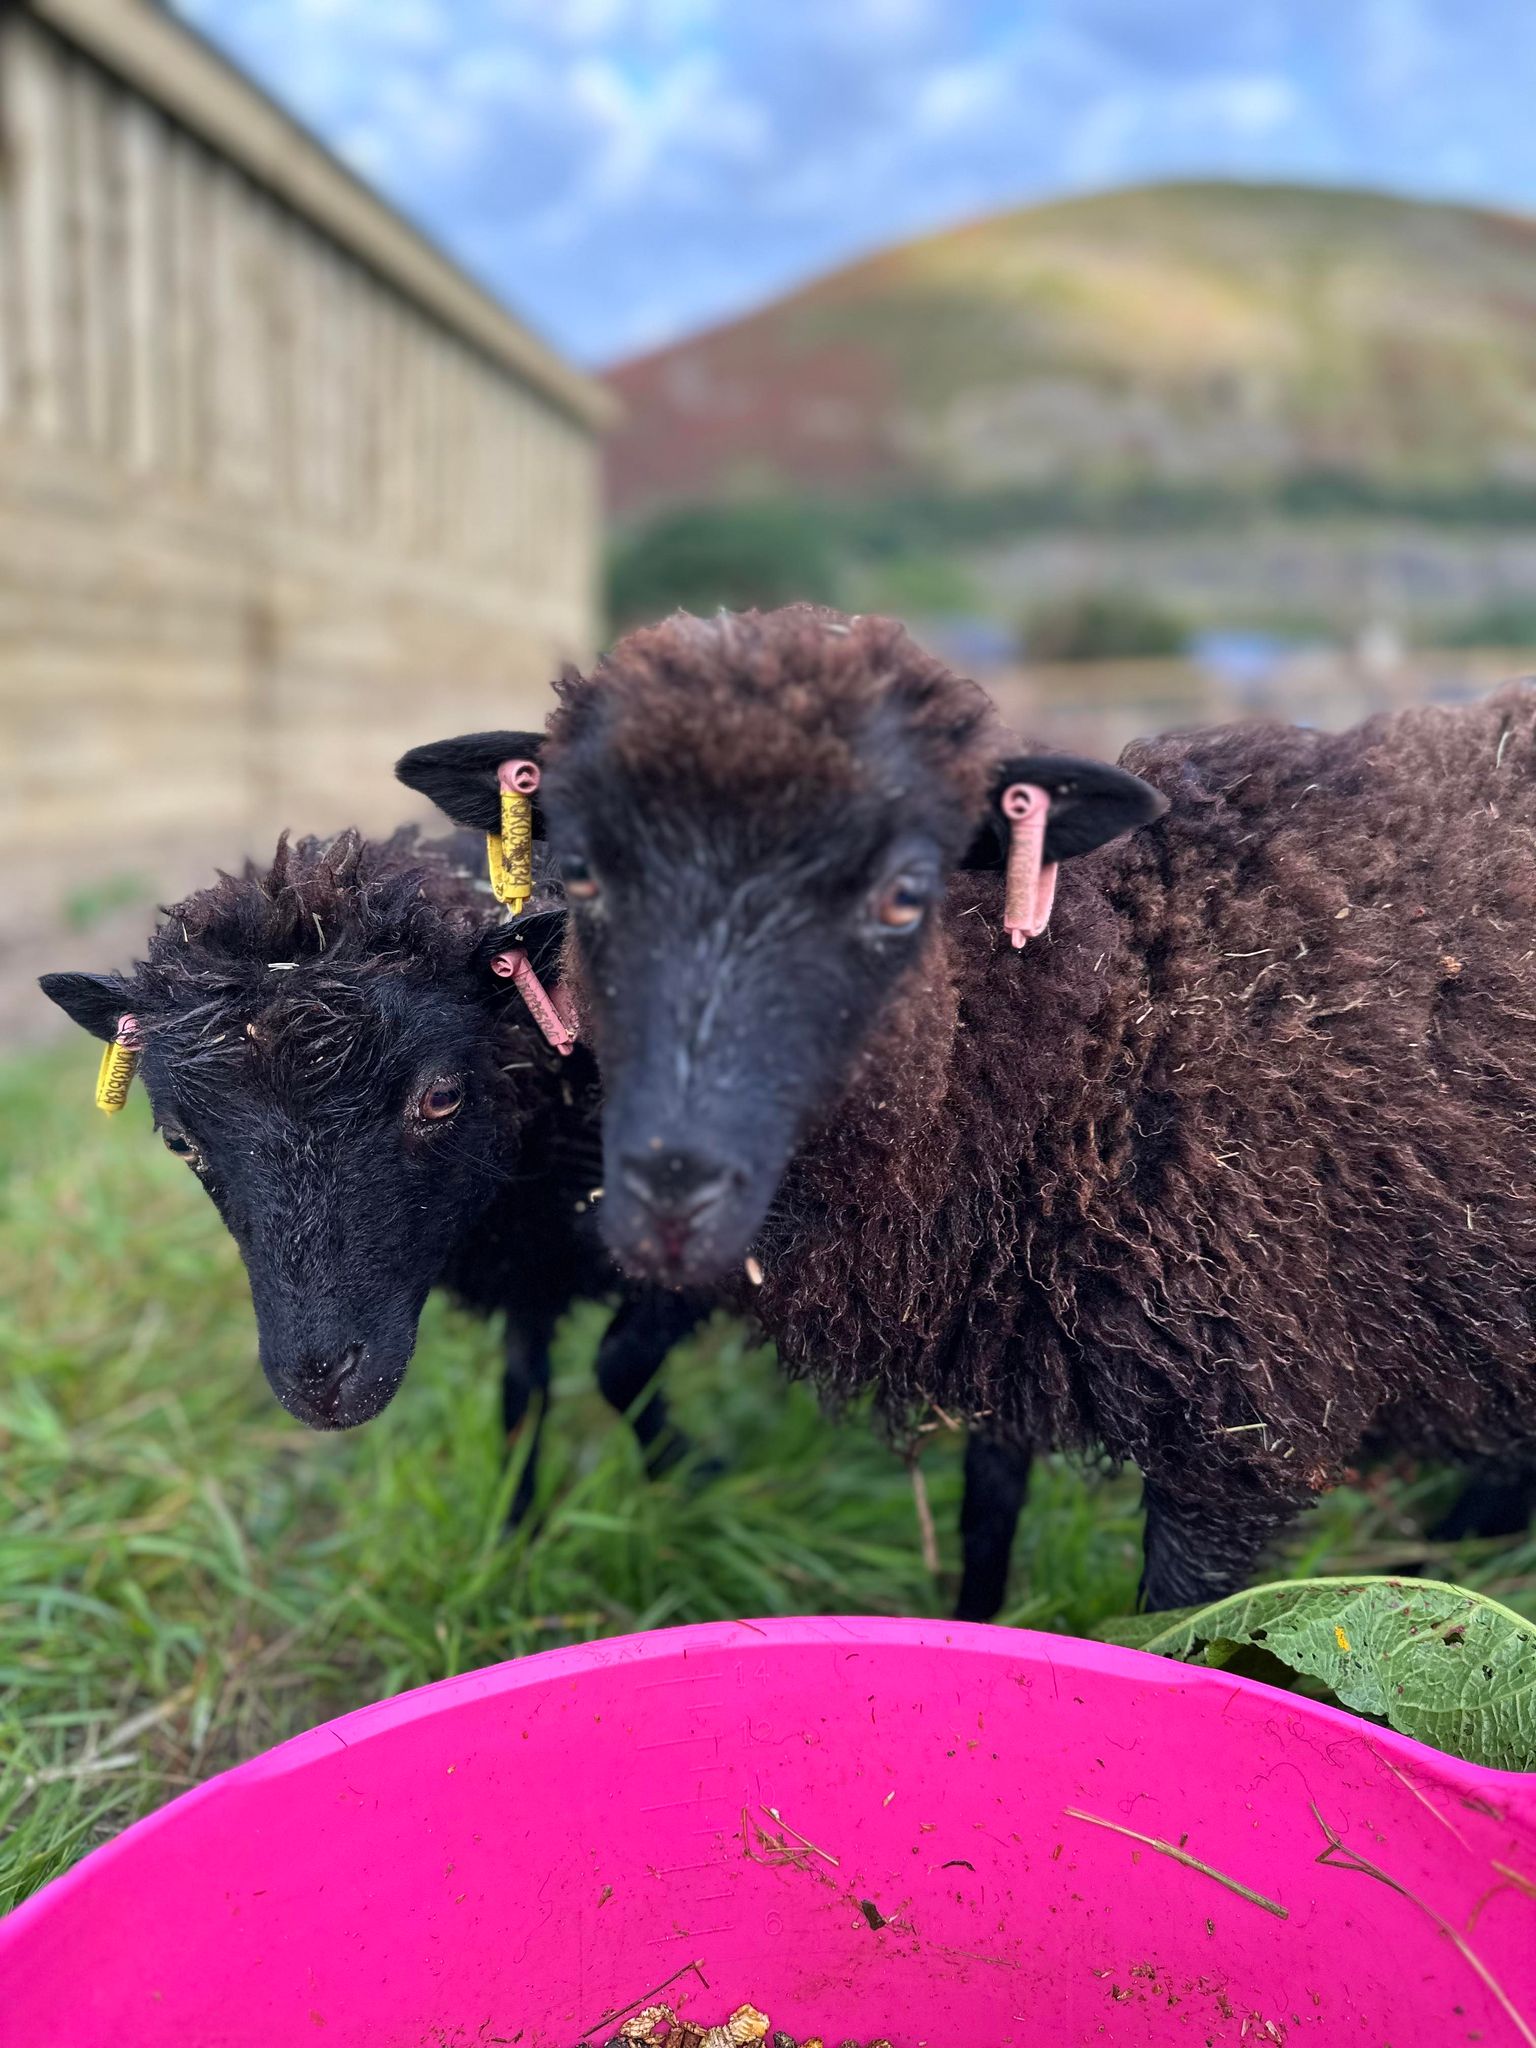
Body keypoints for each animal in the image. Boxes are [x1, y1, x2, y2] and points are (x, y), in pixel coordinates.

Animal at [40, 821, 701, 1519]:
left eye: (441, 1097)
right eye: (177, 1141)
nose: (322, 1384)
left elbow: (620, 1363)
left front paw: (691, 1480)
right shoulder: (525, 1259)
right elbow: (524, 1390)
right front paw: (514, 1522)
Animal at [410, 605, 1536, 1619]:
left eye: (905, 891)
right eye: (582, 874)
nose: (670, 1200)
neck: (1104, 1036)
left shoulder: (1240, 1426)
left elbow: (1177, 1629)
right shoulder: (1004, 1330)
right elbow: (986, 1522)